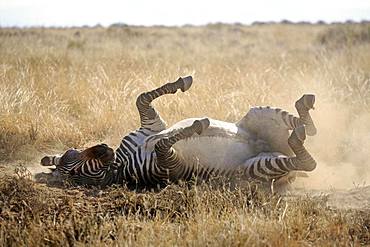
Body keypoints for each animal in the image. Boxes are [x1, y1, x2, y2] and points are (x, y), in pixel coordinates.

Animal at [41, 75, 318, 189]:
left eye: (72, 152)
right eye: (73, 173)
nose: (103, 148)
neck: (120, 164)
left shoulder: (151, 126)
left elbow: (142, 98)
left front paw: (181, 83)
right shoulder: (170, 166)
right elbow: (163, 143)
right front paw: (196, 126)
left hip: (258, 113)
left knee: (311, 130)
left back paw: (304, 108)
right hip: (254, 168)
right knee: (307, 161)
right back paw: (297, 137)